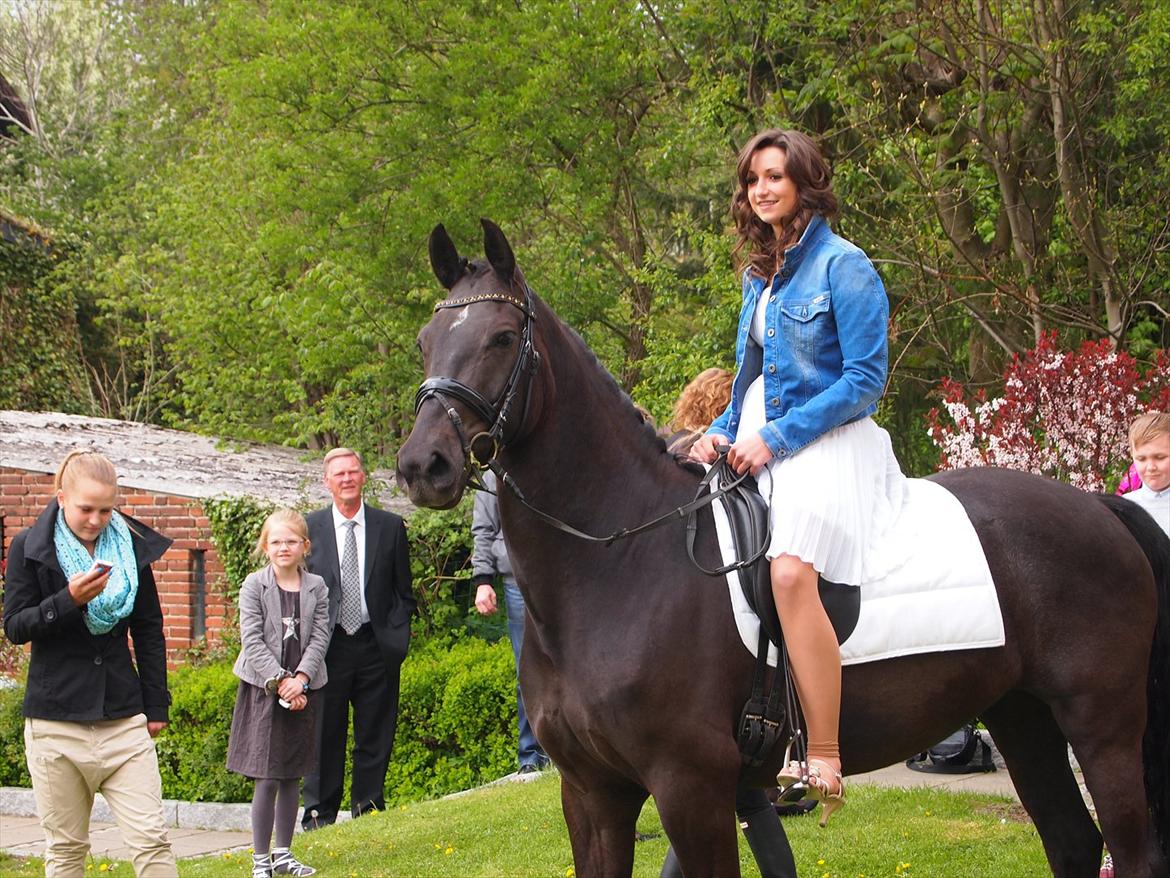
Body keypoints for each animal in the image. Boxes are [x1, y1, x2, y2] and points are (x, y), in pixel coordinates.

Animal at [397, 221, 1165, 878]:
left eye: (501, 338)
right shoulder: (592, 794)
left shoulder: (690, 787)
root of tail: (1097, 505)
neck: (617, 566)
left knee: (1129, 849)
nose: (422, 466)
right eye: (426, 340)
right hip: (1022, 715)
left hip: (1102, 726)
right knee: (1072, 841)